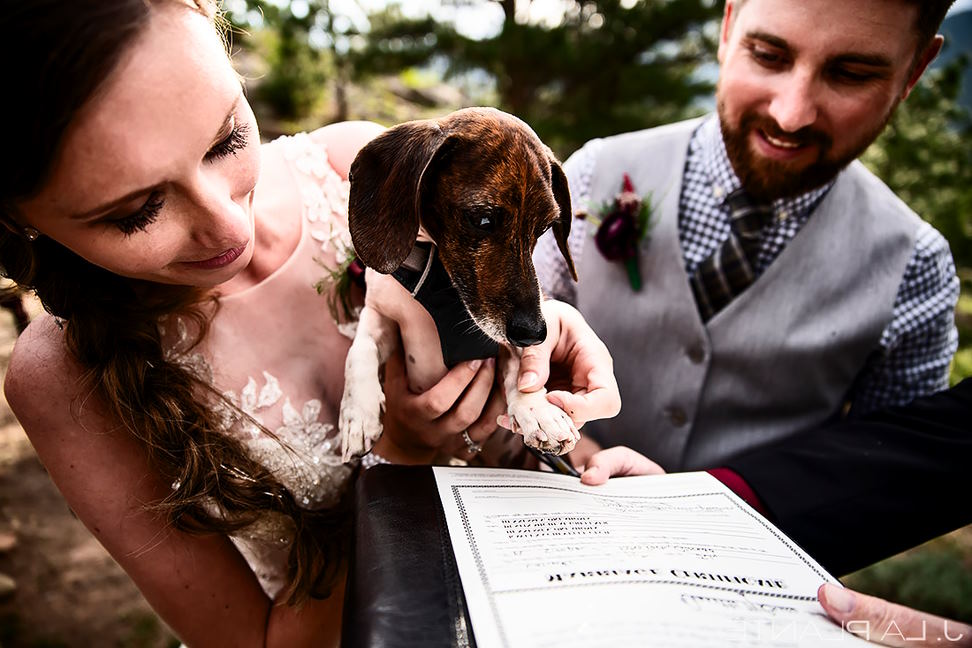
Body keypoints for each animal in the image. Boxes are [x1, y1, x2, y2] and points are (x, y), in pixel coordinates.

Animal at [342, 107, 580, 460]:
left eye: (544, 228)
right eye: (482, 219)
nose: (535, 334)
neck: (435, 277)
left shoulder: (499, 343)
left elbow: (520, 369)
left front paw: (537, 410)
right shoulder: (380, 316)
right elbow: (359, 349)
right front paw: (358, 414)